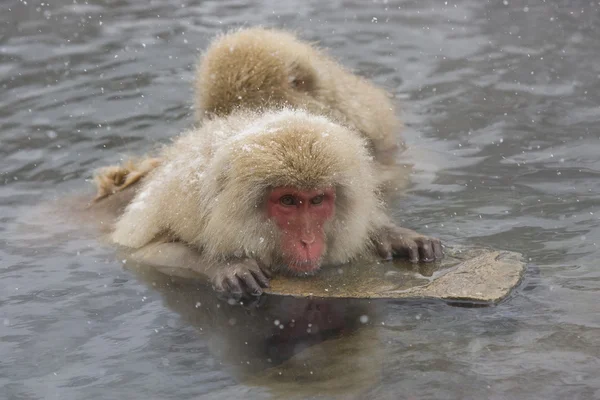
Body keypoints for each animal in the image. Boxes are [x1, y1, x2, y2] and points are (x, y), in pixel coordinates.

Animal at [110, 109, 442, 296]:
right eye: (288, 200)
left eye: (316, 200)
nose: (307, 240)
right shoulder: (189, 207)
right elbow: (144, 255)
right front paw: (227, 265)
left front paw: (395, 236)